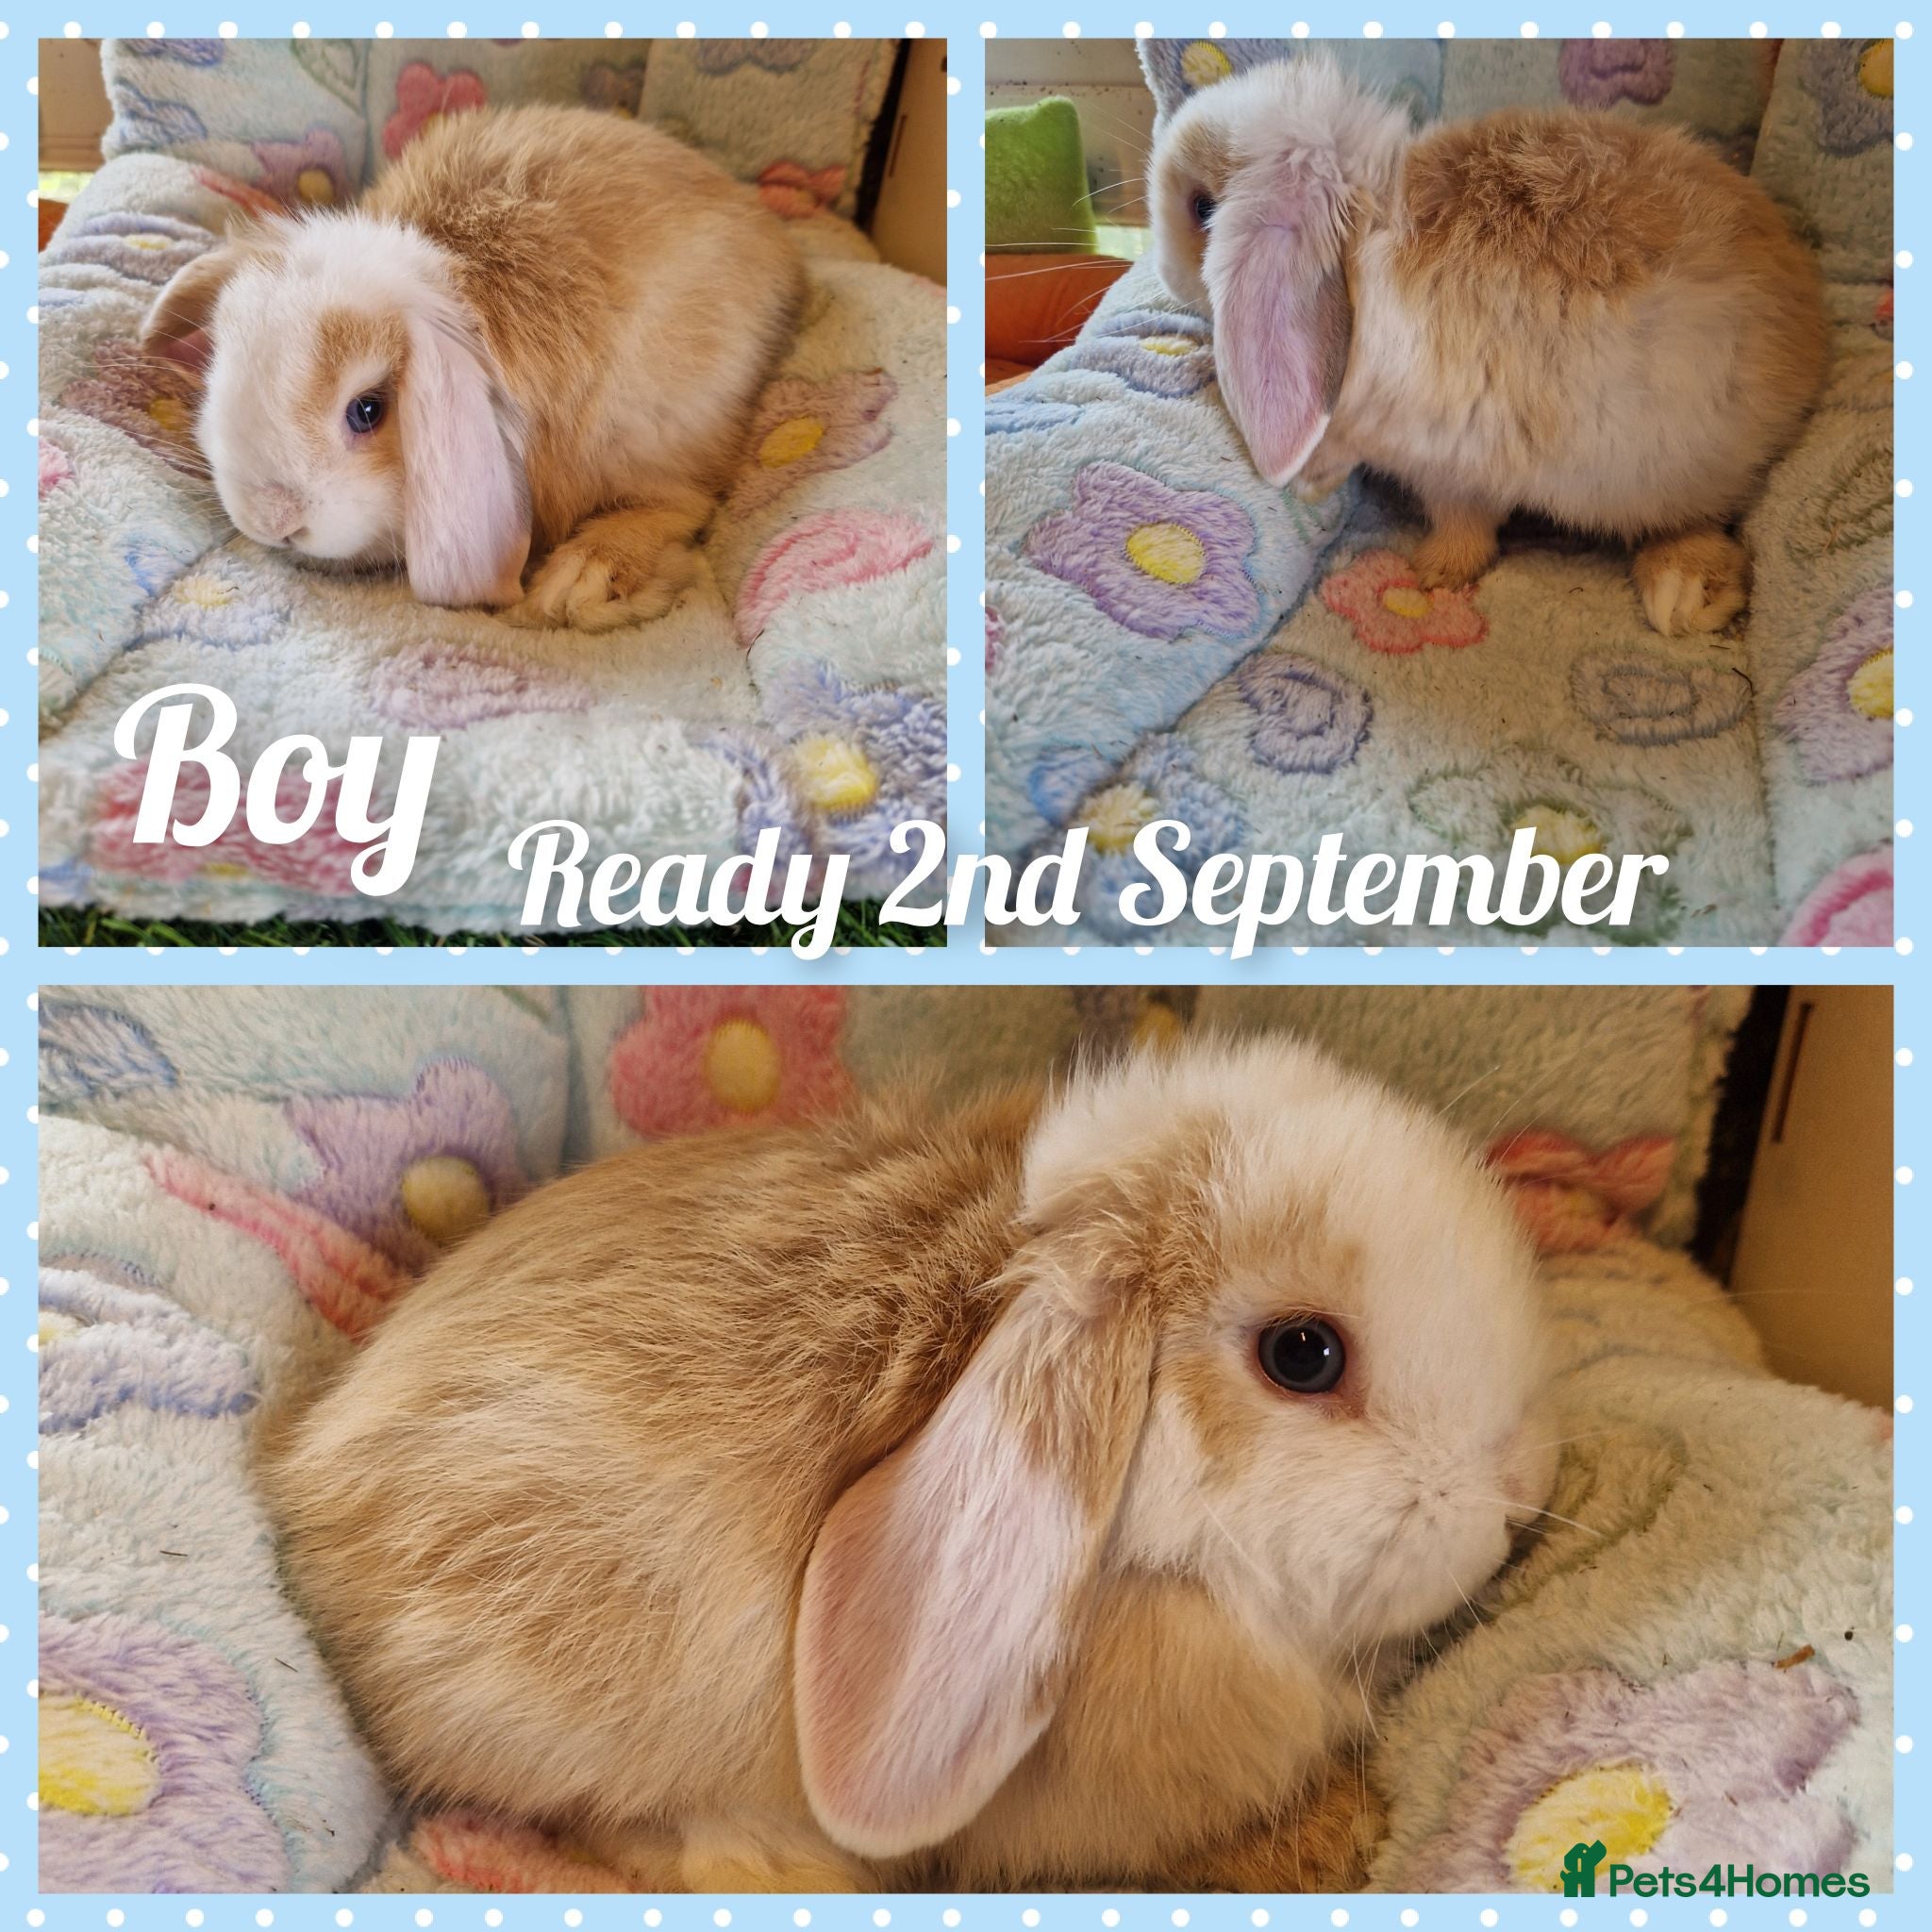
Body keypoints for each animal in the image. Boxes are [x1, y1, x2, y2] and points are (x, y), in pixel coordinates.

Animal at [1148, 57, 1830, 637]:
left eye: (1203, 208)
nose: (1166, 276)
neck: (1361, 235)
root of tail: (1808, 328)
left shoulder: (1447, 463)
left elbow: (1464, 529)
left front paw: (1427, 572)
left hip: (1664, 466)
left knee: (1696, 524)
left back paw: (1683, 595)